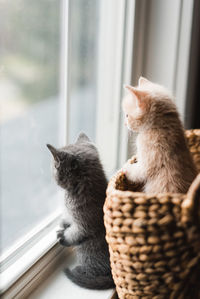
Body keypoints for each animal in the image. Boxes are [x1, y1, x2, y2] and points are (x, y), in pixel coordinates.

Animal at [46, 133, 113, 290]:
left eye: (54, 167)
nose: (52, 175)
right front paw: (64, 223)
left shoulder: (84, 224)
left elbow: (75, 233)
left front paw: (63, 236)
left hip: (87, 254)